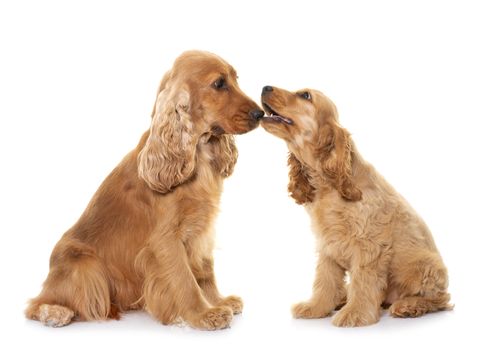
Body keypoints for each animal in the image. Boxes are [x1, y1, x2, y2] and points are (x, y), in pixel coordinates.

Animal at [25, 50, 264, 330]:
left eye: (236, 80)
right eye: (219, 83)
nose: (261, 113)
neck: (197, 153)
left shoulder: (202, 229)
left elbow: (205, 271)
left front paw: (219, 301)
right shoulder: (165, 240)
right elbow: (185, 280)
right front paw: (204, 314)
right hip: (86, 266)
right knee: (36, 303)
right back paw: (55, 313)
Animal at [260, 86, 452, 326]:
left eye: (305, 95)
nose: (265, 87)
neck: (328, 186)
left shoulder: (369, 246)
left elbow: (363, 282)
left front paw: (355, 314)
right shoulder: (328, 245)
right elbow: (325, 280)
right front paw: (316, 307)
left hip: (426, 266)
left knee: (441, 298)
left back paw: (408, 306)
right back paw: (343, 299)